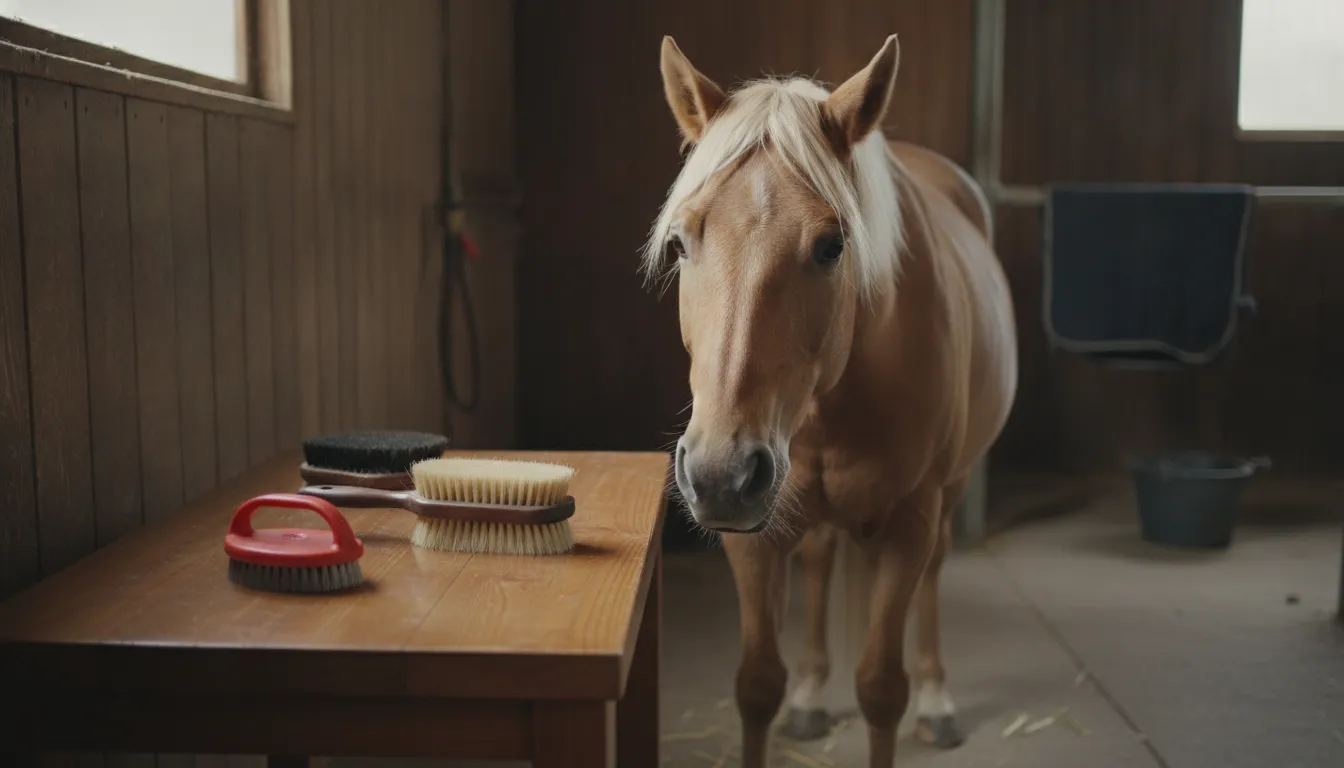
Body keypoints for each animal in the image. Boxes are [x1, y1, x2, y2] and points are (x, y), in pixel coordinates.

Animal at [644, 34, 1019, 767]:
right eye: (680, 241)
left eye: (830, 245)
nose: (719, 475)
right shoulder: (751, 539)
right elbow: (757, 684)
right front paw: (794, 694)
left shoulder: (909, 522)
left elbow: (881, 688)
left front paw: (911, 698)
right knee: (818, 559)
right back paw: (813, 696)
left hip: (951, 491)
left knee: (935, 571)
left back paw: (938, 701)